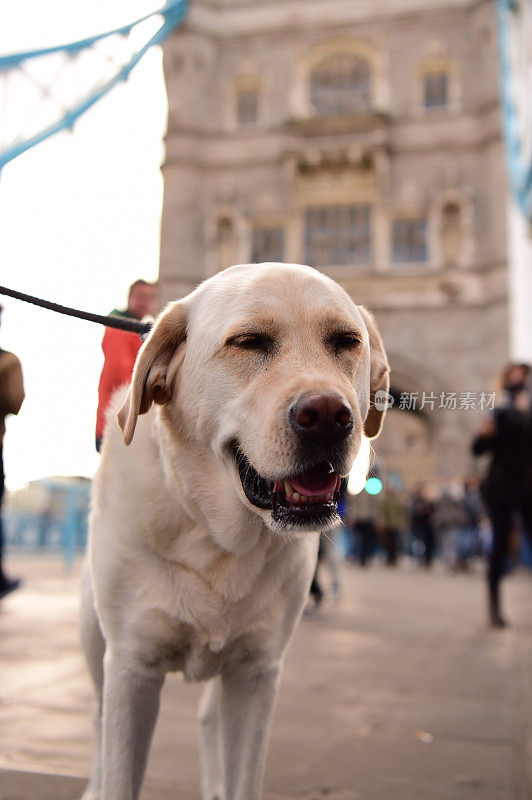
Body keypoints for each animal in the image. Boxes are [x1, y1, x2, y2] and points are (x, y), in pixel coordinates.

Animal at [80, 262, 386, 800]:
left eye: (346, 341)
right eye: (247, 342)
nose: (329, 416)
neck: (215, 535)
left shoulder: (255, 674)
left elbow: (244, 773)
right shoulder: (132, 669)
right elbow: (120, 771)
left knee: (207, 720)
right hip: (94, 640)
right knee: (98, 723)